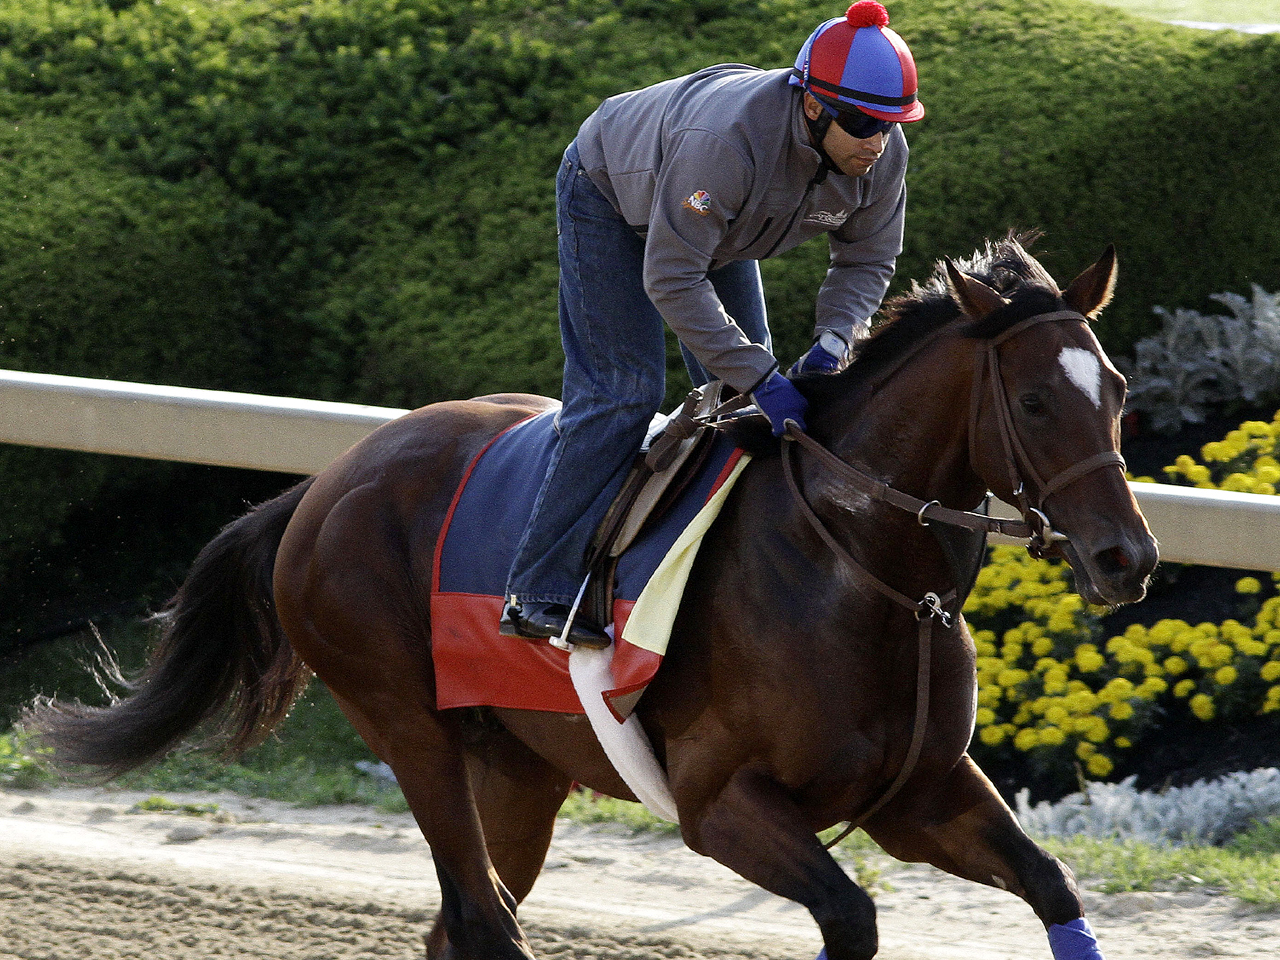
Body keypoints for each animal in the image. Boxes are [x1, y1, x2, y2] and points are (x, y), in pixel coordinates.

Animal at [27, 235, 1162, 960]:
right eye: (1032, 400)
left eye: (1113, 390)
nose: (1126, 558)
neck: (857, 567)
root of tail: (323, 484)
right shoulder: (719, 802)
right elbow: (850, 919)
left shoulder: (921, 792)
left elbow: (1053, 885)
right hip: (406, 726)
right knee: (482, 921)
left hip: (516, 771)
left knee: (460, 922)